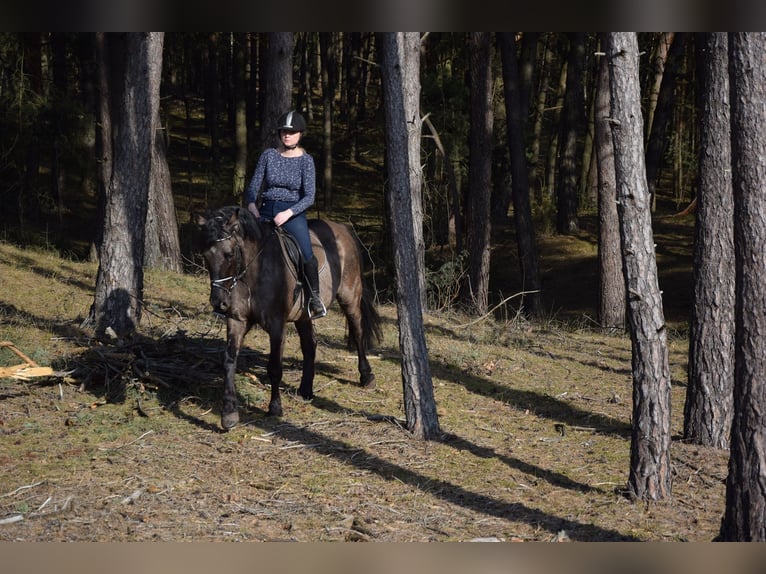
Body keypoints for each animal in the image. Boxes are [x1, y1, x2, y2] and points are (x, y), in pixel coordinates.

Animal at [197, 205, 382, 430]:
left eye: (229, 254)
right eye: (206, 255)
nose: (218, 303)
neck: (254, 272)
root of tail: (343, 228)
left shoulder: (277, 326)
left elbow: (275, 367)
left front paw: (275, 408)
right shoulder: (237, 321)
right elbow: (229, 361)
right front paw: (229, 413)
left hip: (350, 296)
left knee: (358, 331)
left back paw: (367, 376)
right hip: (303, 315)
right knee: (310, 344)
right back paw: (306, 390)